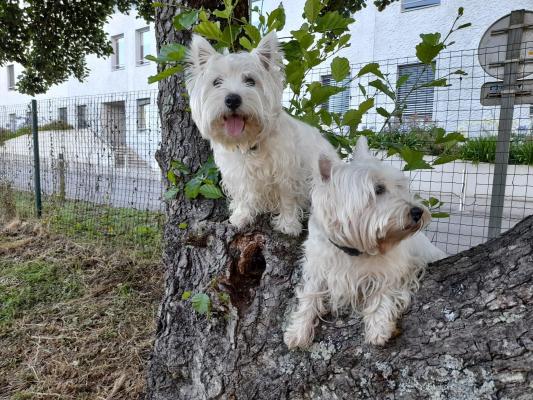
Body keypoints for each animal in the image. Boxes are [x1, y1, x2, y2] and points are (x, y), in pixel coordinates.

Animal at [185, 33, 338, 238]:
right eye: (217, 82)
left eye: (250, 81)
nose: (232, 99)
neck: (249, 142)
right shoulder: (238, 175)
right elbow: (243, 195)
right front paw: (241, 217)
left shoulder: (287, 173)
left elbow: (287, 198)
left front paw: (288, 225)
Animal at [282, 137, 444, 346]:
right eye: (378, 189)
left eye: (400, 186)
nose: (418, 212)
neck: (354, 249)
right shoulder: (318, 268)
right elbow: (310, 294)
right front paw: (298, 330)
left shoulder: (397, 270)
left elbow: (383, 293)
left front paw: (379, 328)